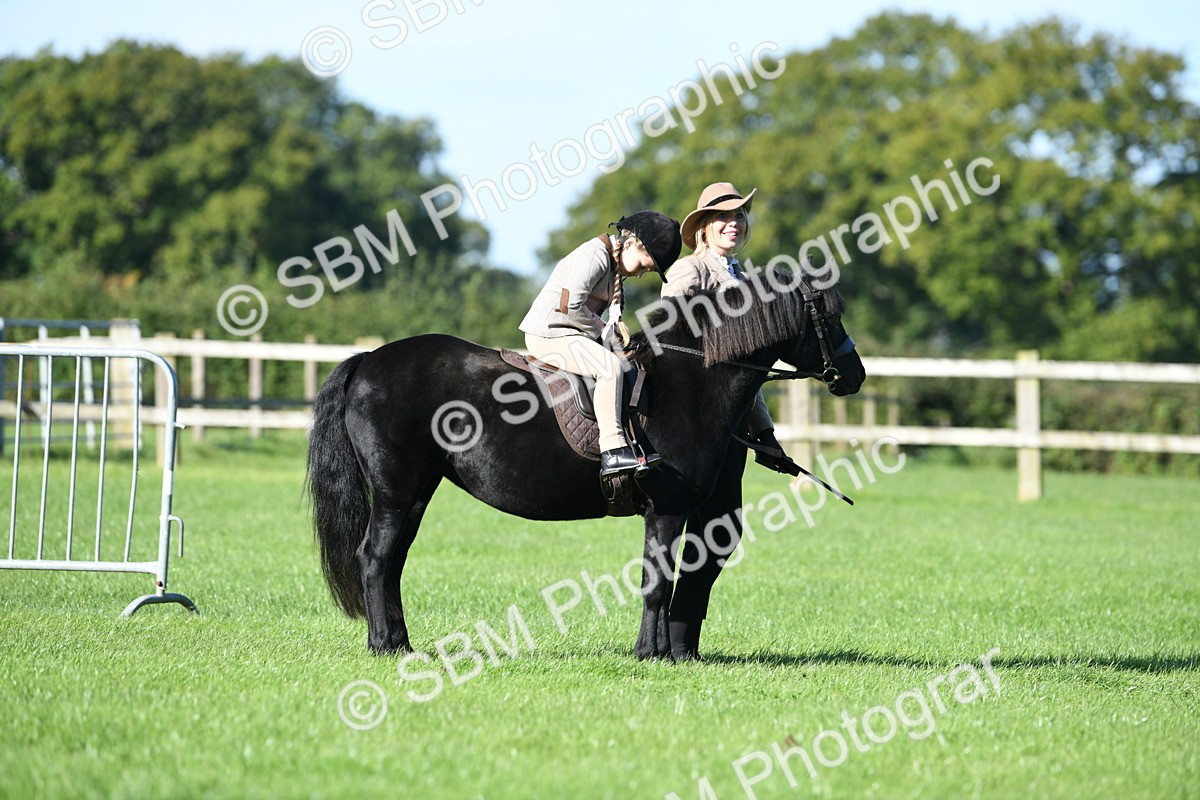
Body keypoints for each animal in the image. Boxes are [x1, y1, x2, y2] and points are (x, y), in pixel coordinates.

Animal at [306, 268, 866, 659]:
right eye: (830, 317)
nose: (856, 374)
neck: (690, 379)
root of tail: (369, 359)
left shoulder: (674, 512)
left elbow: (664, 580)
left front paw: (657, 650)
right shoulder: (666, 509)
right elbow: (657, 583)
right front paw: (652, 654)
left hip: (414, 494)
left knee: (390, 563)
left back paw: (398, 641)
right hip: (399, 494)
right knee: (376, 559)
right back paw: (388, 645)